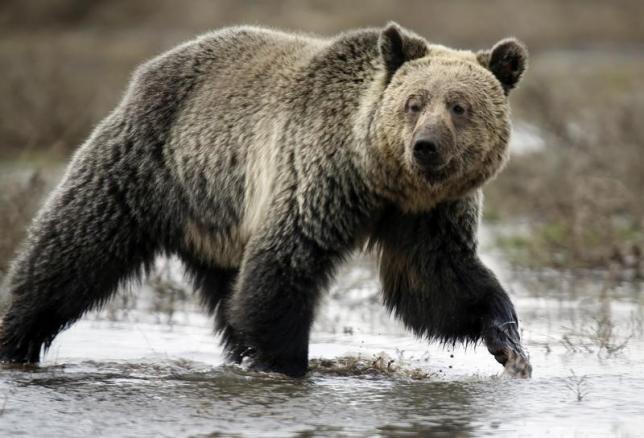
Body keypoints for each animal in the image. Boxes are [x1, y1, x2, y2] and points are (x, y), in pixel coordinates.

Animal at [2, 23, 532, 376]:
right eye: (414, 102)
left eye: (459, 106)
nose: (425, 146)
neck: (381, 178)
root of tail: (150, 68)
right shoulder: (318, 177)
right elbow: (284, 267)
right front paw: (286, 364)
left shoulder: (427, 215)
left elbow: (436, 283)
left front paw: (508, 341)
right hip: (147, 165)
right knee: (73, 251)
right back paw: (16, 339)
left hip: (217, 217)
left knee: (227, 294)